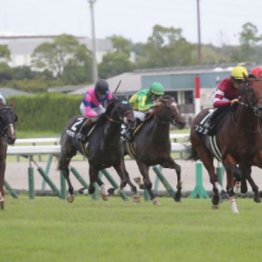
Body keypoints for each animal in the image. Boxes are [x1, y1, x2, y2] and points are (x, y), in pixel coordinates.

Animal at [189, 78, 262, 213]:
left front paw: (249, 191)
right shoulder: (227, 156)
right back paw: (217, 199)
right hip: (203, 152)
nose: (260, 108)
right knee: (214, 177)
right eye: (251, 90)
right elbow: (241, 173)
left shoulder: (255, 156)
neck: (245, 128)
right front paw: (252, 192)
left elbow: (244, 171)